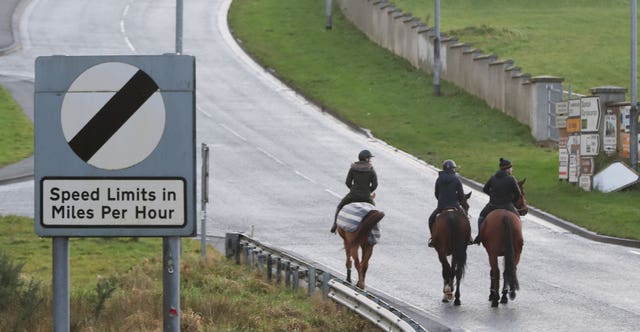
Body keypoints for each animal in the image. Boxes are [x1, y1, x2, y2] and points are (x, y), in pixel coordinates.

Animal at [480, 180, 528, 308]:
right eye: (522, 193)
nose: (525, 209)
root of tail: (505, 216)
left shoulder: (491, 253)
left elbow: (492, 272)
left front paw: (492, 294)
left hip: (493, 253)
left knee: (496, 272)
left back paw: (495, 297)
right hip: (516, 252)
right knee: (509, 270)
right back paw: (505, 296)